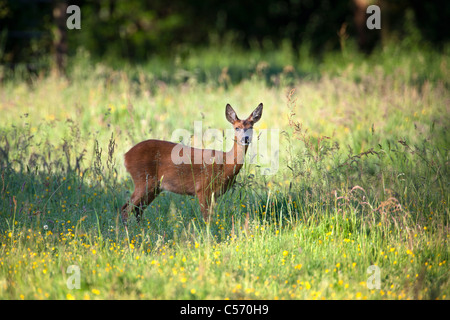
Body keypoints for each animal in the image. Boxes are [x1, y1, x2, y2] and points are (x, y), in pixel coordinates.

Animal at [120, 102, 264, 225]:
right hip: (143, 180)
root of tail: (126, 156)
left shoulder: (214, 194)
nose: (245, 139)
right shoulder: (203, 188)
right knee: (126, 208)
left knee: (138, 209)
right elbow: (206, 218)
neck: (225, 165)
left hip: (154, 186)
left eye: (251, 127)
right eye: (237, 128)